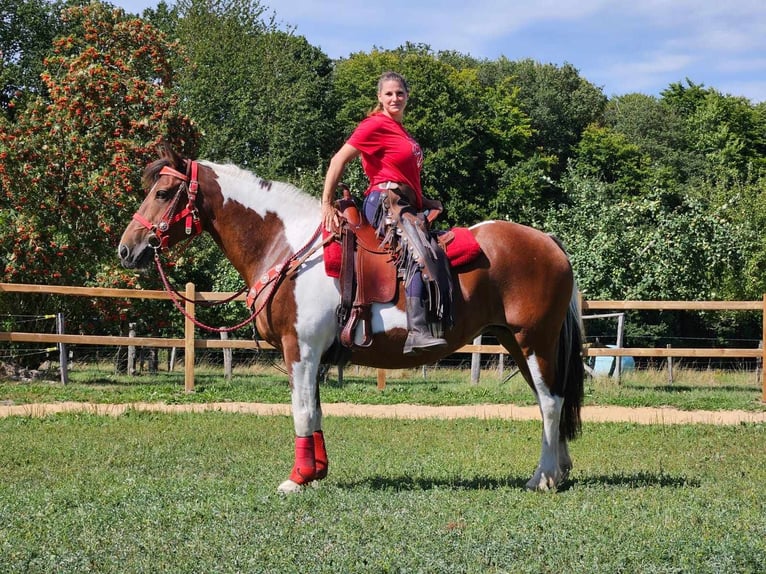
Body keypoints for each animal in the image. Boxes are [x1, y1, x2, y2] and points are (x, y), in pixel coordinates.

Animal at [117, 144, 584, 496]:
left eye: (163, 193)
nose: (126, 249)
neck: (288, 248)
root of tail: (548, 241)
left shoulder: (301, 349)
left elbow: (302, 411)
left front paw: (297, 479)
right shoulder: (312, 355)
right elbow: (316, 412)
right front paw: (316, 472)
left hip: (534, 342)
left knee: (550, 402)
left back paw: (542, 478)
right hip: (517, 343)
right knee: (552, 401)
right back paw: (558, 471)